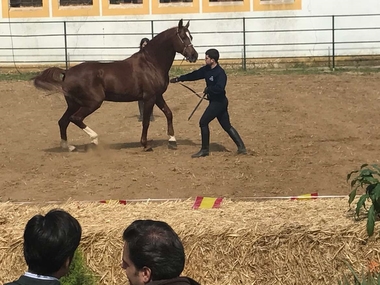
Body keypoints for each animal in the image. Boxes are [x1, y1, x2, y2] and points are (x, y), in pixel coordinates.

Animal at [33, 19, 199, 152]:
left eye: (191, 36)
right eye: (183, 37)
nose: (194, 55)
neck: (151, 63)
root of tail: (67, 72)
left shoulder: (157, 96)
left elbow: (169, 113)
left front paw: (172, 142)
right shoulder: (149, 98)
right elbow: (146, 122)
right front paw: (145, 145)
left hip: (74, 104)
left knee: (63, 121)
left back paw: (68, 147)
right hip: (93, 102)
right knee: (75, 118)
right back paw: (94, 139)